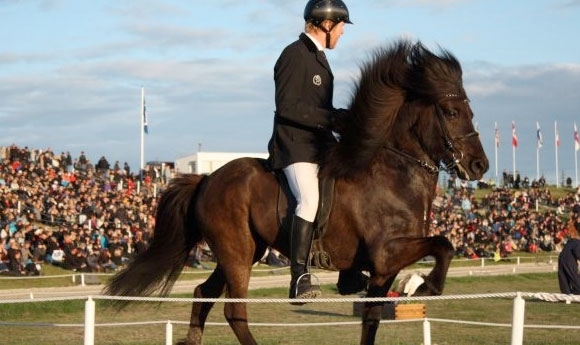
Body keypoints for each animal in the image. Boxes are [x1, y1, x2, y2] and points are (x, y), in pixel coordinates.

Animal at [105, 39, 490, 342]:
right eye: (451, 111)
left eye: (471, 110)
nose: (479, 166)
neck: (392, 175)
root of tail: (207, 179)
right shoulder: (387, 253)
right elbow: (444, 243)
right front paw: (429, 287)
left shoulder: (384, 271)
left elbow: (371, 320)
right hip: (237, 253)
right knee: (234, 311)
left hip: (242, 251)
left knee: (203, 295)